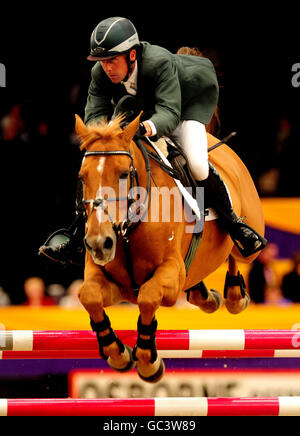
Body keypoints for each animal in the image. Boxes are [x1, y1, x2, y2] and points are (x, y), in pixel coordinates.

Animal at [74, 111, 264, 382]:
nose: (99, 243)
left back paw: (236, 294)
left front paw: (147, 362)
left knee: (238, 252)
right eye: (82, 177)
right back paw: (206, 296)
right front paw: (118, 354)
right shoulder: (110, 280)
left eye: (124, 174)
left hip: (250, 237)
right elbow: (88, 296)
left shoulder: (170, 274)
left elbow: (148, 296)